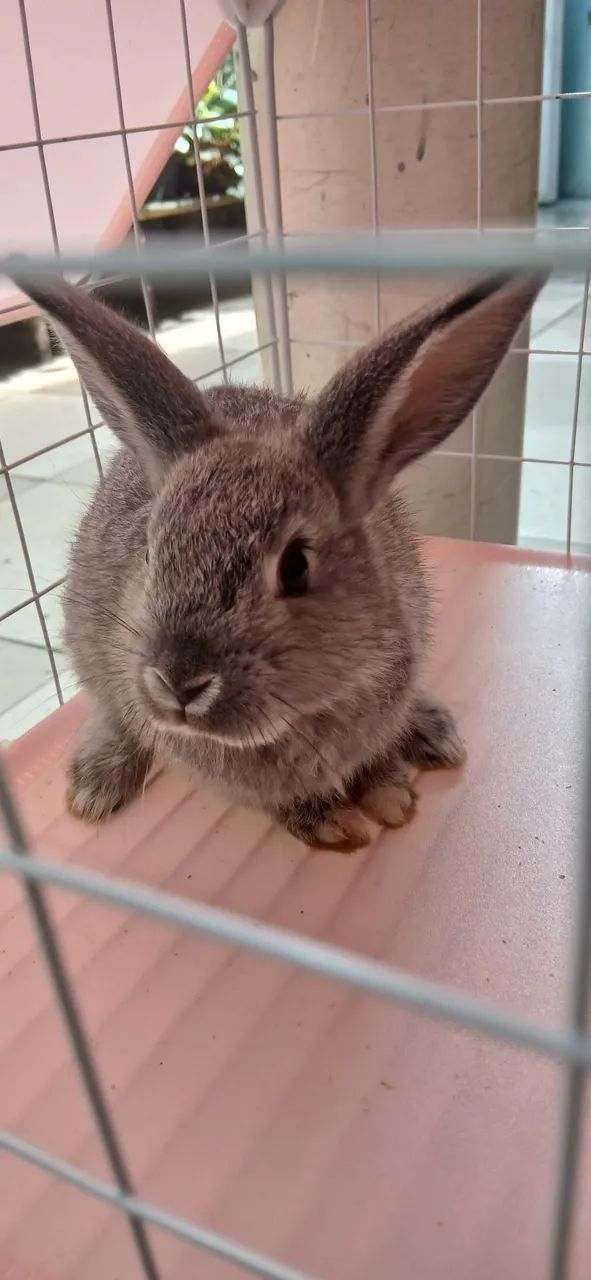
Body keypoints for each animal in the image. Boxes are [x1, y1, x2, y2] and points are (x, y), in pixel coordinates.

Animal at [12, 267, 543, 851]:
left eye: (296, 567)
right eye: (149, 552)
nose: (178, 683)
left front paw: (387, 791)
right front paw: (333, 821)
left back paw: (430, 732)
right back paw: (96, 785)